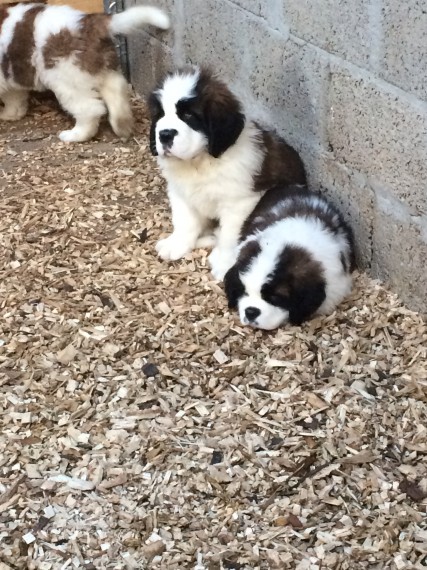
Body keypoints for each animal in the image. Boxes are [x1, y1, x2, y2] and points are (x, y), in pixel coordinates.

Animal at [0, 3, 169, 142]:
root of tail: (88, 23)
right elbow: (13, 99)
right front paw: (10, 114)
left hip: (67, 78)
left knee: (90, 109)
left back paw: (76, 135)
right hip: (99, 67)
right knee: (116, 89)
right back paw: (122, 124)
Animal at [149, 66, 307, 280]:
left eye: (189, 115)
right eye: (161, 114)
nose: (164, 134)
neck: (201, 162)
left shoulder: (239, 204)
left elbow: (229, 235)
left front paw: (224, 262)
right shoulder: (180, 192)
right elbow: (184, 221)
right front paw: (177, 244)